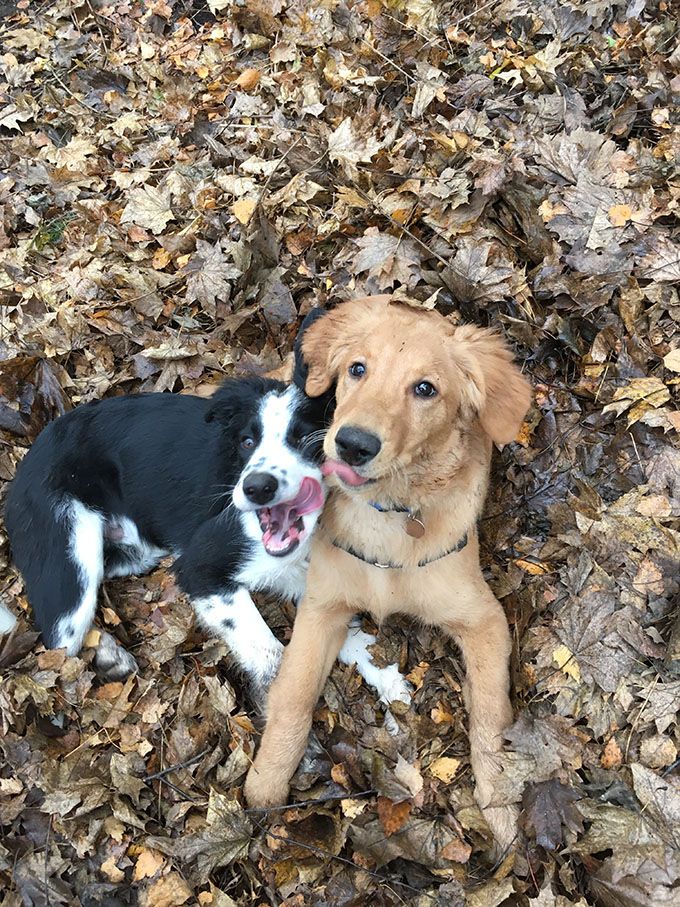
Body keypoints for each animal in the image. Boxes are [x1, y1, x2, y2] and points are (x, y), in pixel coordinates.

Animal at [0, 372, 412, 712]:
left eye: (305, 439)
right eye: (247, 442)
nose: (256, 488)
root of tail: (28, 456)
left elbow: (356, 640)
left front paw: (390, 684)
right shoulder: (200, 568)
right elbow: (271, 654)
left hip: (136, 551)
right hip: (72, 558)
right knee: (56, 642)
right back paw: (104, 656)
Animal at [243, 296, 532, 852]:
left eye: (425, 389)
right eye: (358, 369)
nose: (352, 444)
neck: (388, 516)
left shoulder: (483, 618)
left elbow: (490, 714)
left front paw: (503, 808)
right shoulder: (323, 607)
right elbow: (293, 694)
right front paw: (266, 781)